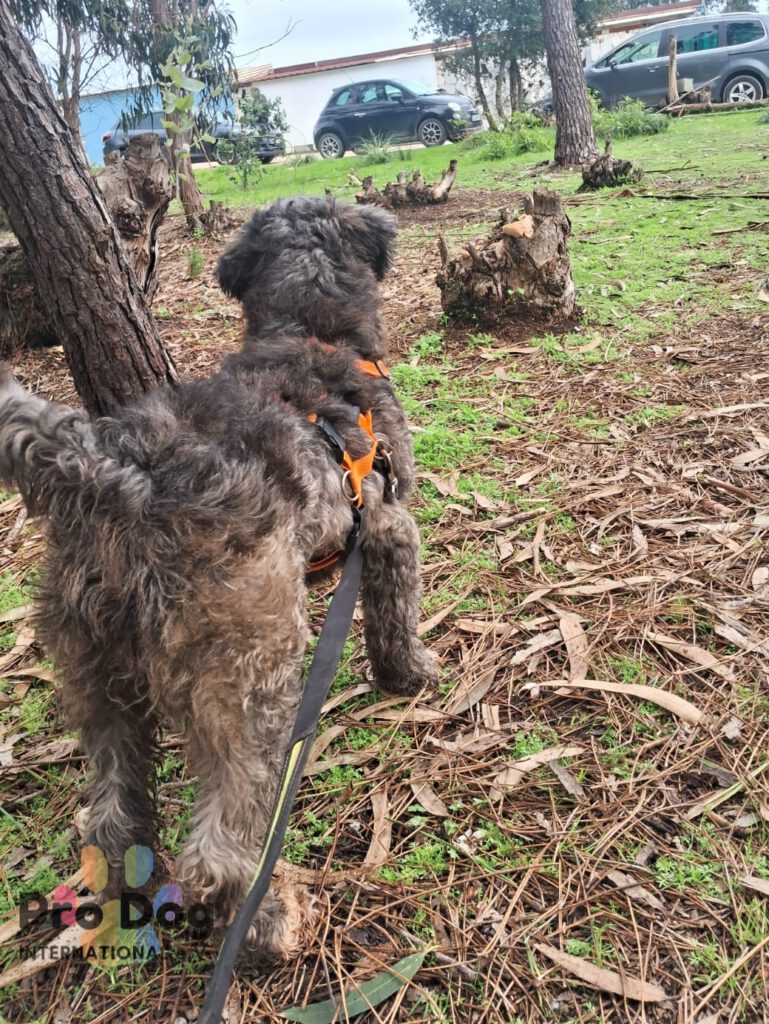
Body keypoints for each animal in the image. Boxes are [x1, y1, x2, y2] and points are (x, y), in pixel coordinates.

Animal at [0, 196, 437, 956]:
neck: (308, 330)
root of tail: (116, 470)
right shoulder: (387, 524)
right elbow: (396, 612)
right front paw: (407, 674)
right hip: (251, 676)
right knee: (217, 851)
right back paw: (266, 922)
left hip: (95, 677)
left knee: (110, 819)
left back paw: (132, 886)